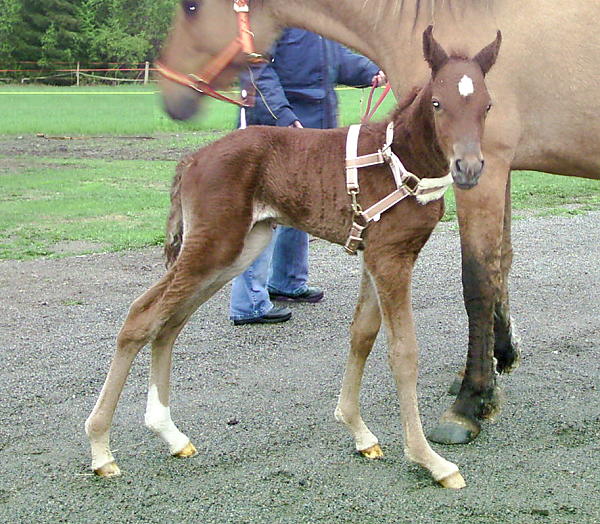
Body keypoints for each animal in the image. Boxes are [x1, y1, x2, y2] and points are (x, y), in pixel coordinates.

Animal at [85, 27, 502, 488]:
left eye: (486, 105)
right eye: (438, 103)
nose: (469, 168)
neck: (397, 160)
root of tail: (192, 159)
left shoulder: (376, 256)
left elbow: (362, 335)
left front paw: (358, 431)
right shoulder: (390, 258)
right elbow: (403, 353)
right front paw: (429, 459)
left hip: (235, 252)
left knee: (170, 323)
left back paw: (171, 435)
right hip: (213, 246)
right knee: (143, 315)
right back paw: (101, 448)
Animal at [156, 0, 600, 444]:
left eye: (191, 8)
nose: (170, 99)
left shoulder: (481, 171)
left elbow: (477, 279)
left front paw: (471, 402)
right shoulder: (492, 171)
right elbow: (500, 264)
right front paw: (497, 362)